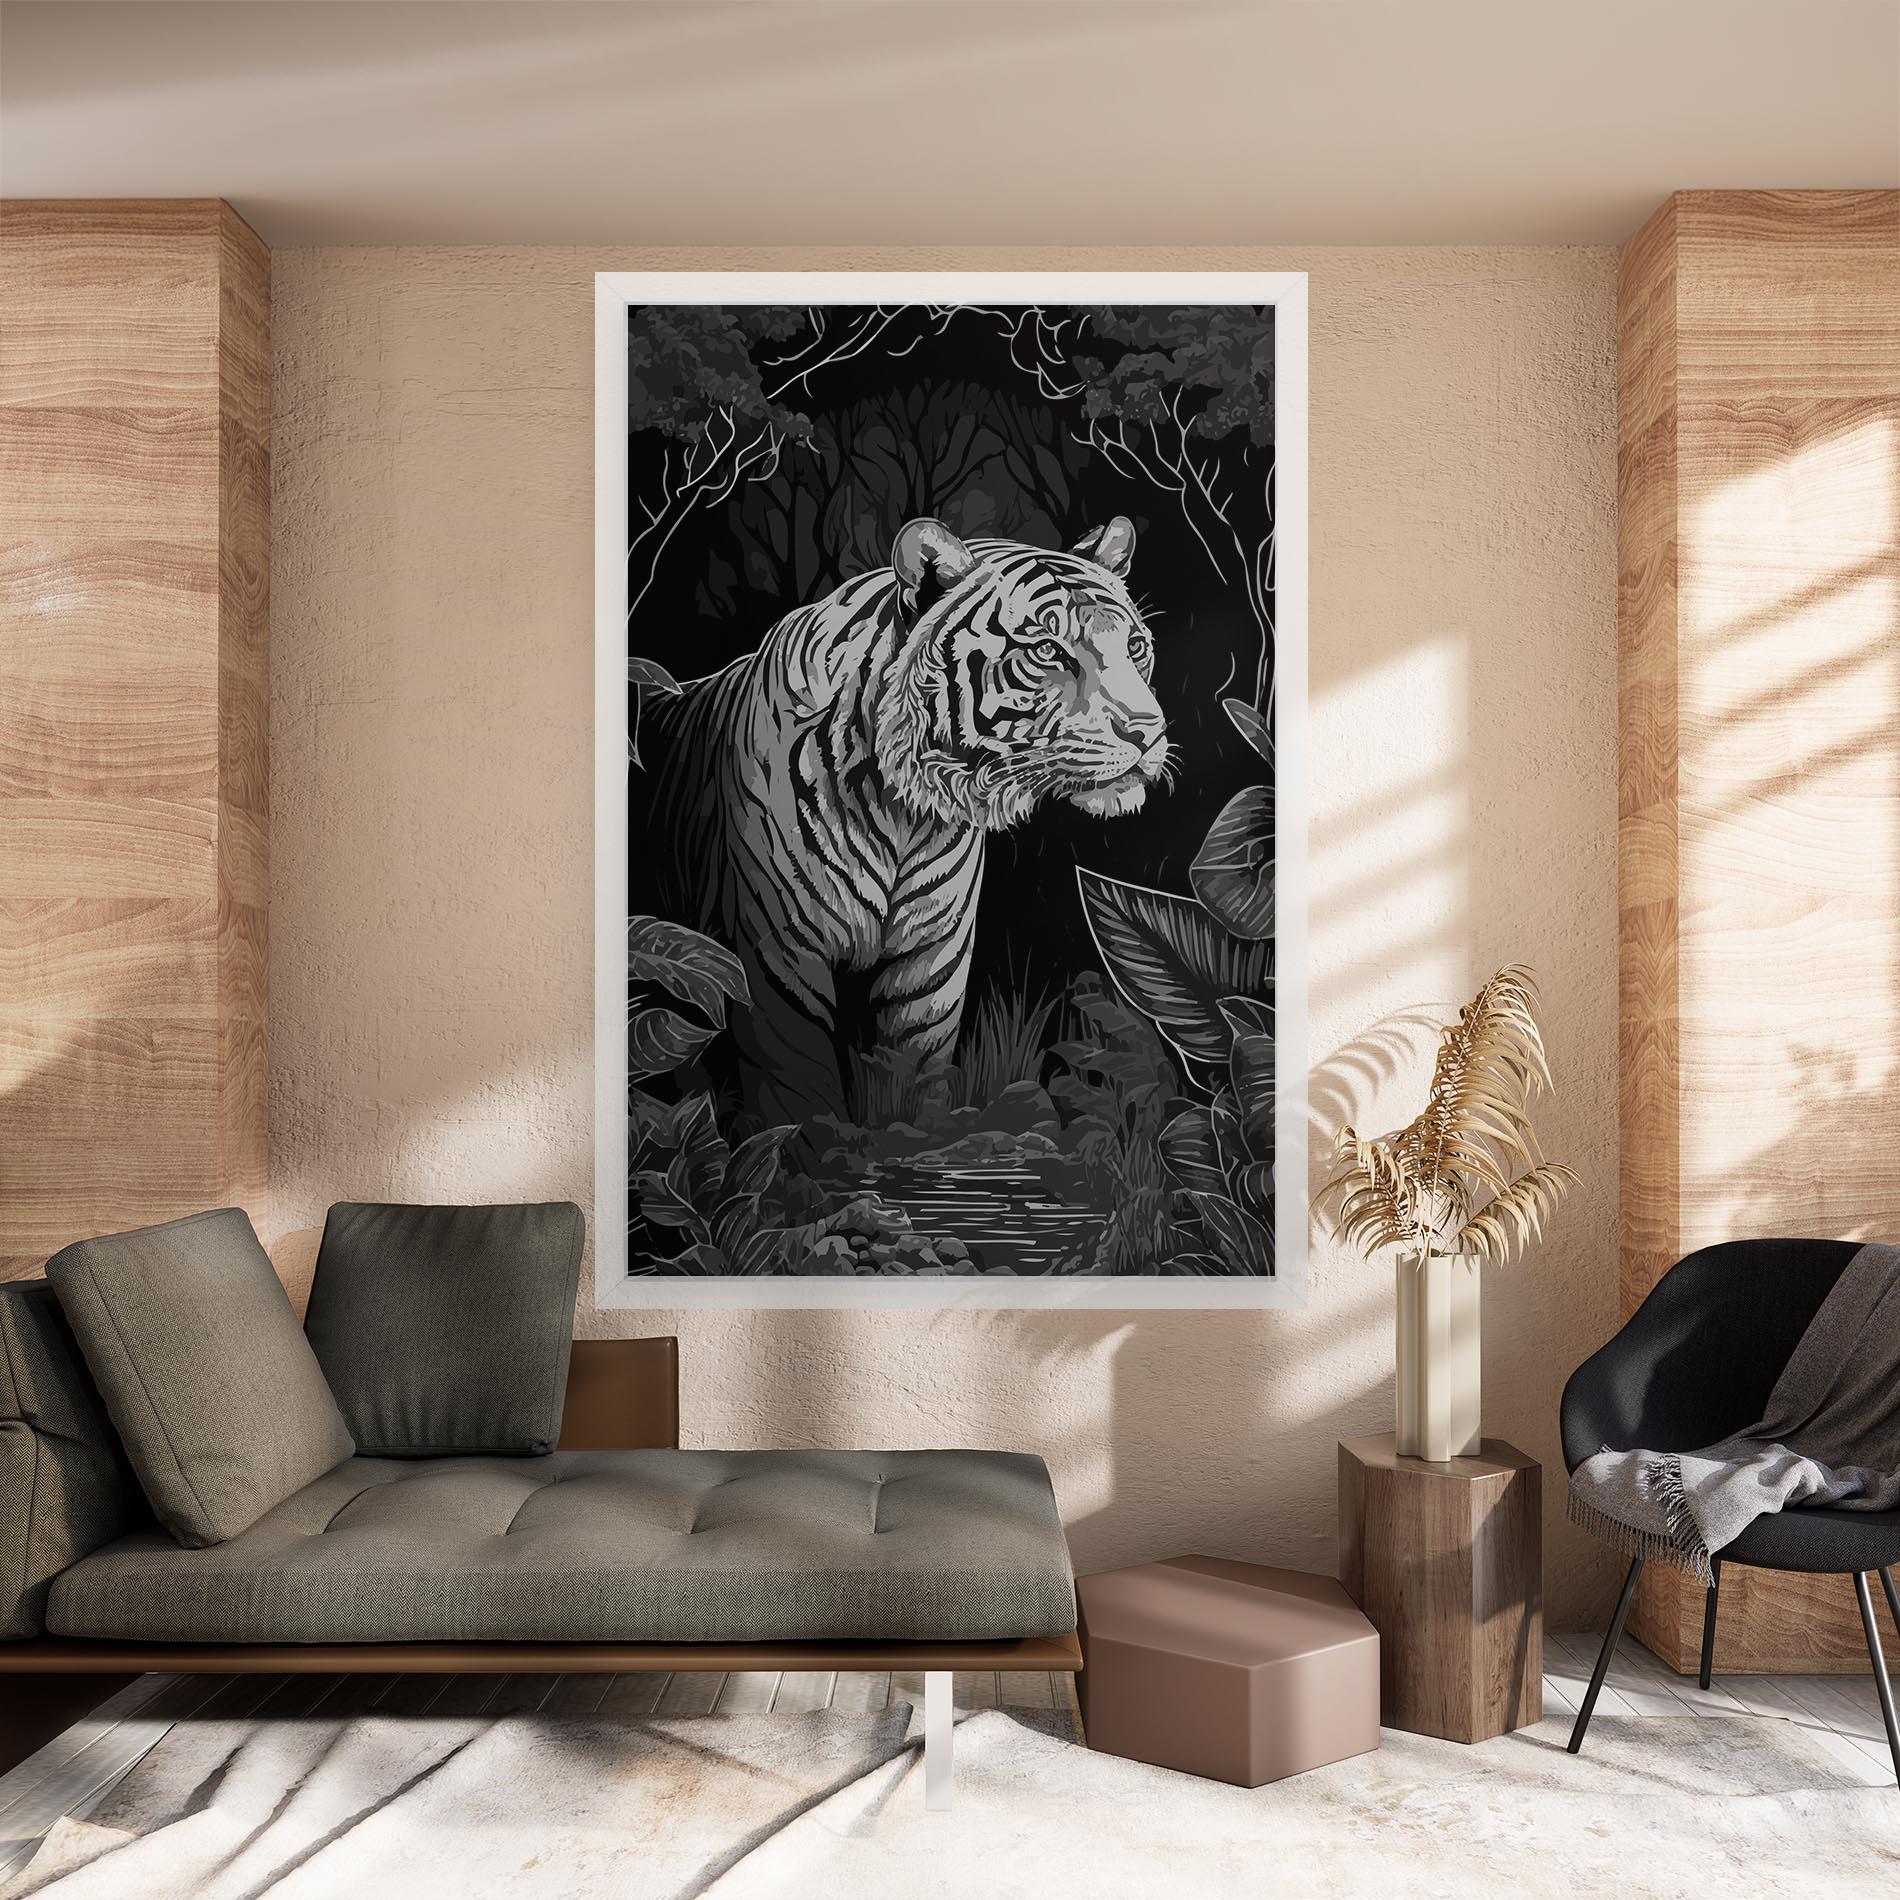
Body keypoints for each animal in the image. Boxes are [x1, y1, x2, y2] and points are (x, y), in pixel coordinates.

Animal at [639, 515, 1167, 1129]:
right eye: (1047, 650)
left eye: (1134, 646)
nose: (1148, 732)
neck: (905, 814)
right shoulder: (777, 961)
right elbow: (797, 1098)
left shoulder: (930, 965)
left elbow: (914, 1085)